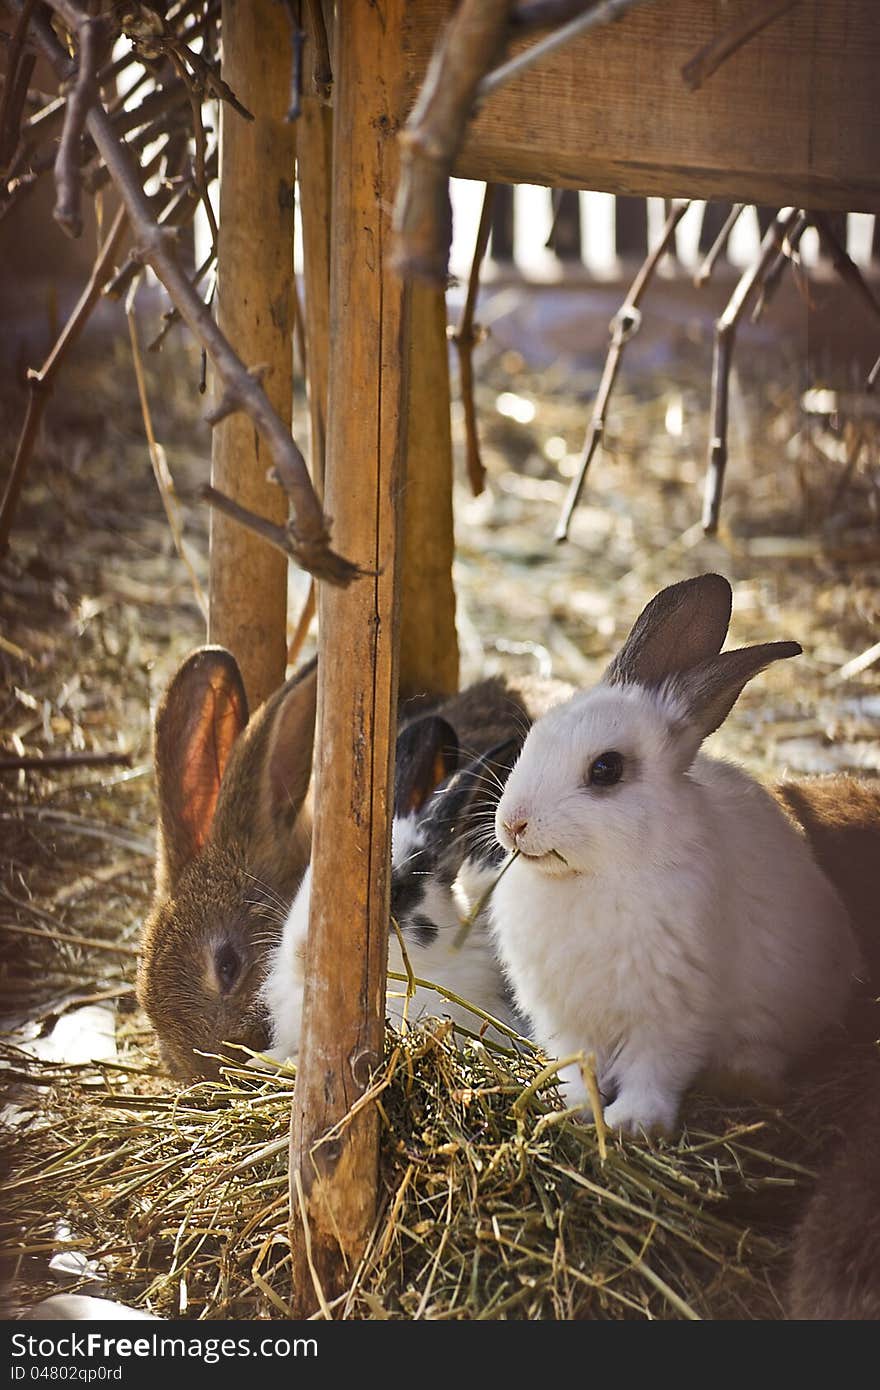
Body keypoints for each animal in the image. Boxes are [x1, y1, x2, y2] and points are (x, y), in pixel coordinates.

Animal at [492, 569, 861, 1134]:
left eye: (606, 769)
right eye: (533, 738)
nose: (513, 823)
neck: (600, 876)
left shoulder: (672, 1015)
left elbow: (655, 1069)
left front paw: (633, 1123)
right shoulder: (568, 1022)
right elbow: (580, 1068)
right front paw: (572, 1107)